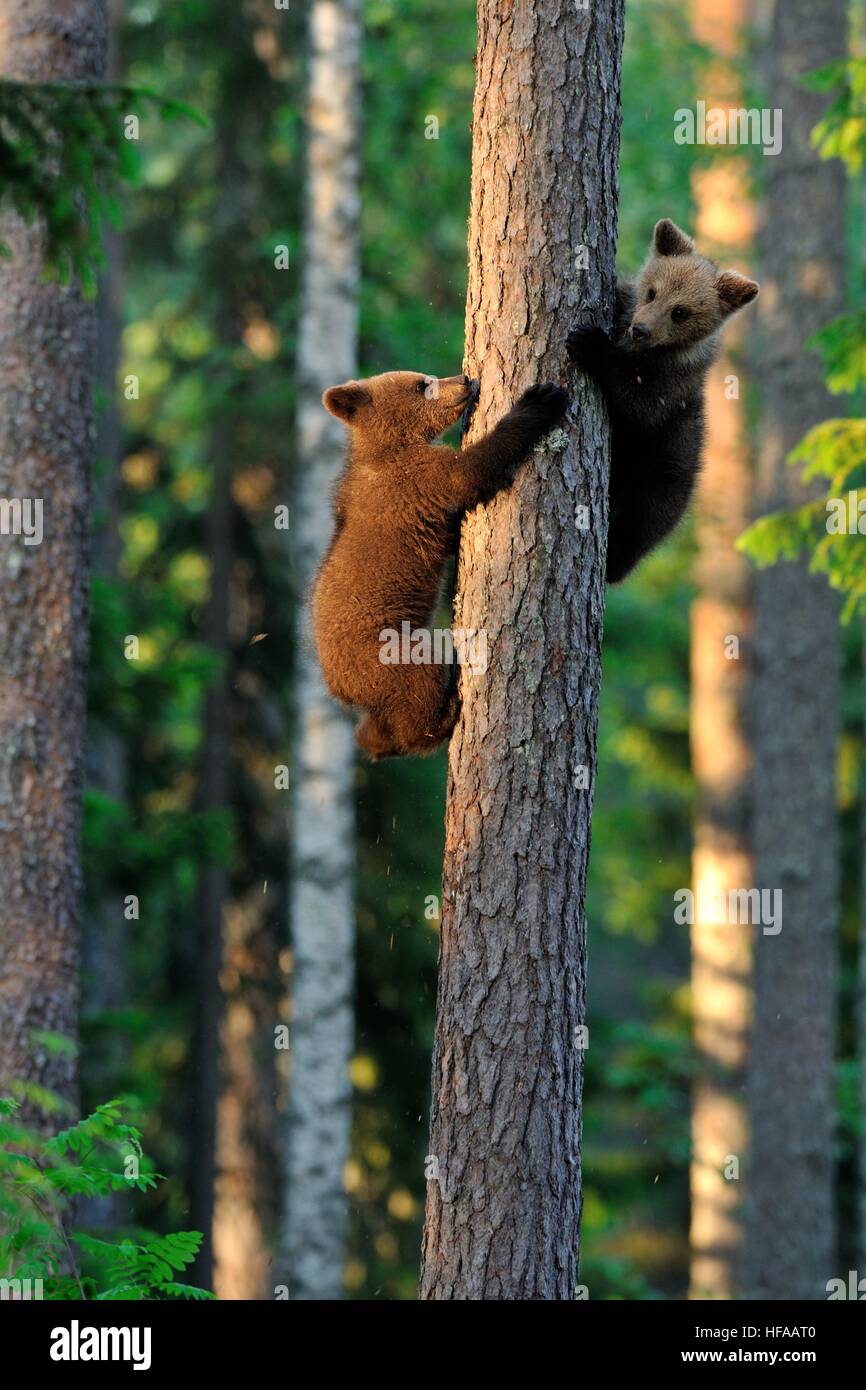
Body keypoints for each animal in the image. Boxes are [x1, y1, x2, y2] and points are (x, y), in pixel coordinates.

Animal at [312, 371, 569, 759]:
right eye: (422, 384)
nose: (464, 378)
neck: (390, 448)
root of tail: (336, 686)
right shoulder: (417, 479)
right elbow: (470, 471)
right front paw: (539, 400)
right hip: (387, 652)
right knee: (421, 678)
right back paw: (443, 716)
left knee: (377, 725)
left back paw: (377, 740)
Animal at [566, 217, 759, 583]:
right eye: (652, 291)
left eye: (680, 311)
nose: (640, 329)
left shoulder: (673, 385)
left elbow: (640, 405)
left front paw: (589, 343)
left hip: (664, 476)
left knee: (640, 529)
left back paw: (613, 563)